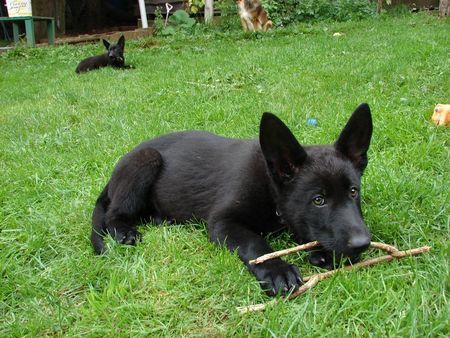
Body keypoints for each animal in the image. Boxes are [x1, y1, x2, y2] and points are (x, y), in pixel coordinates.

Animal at [91, 103, 372, 296]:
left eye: (353, 192)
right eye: (318, 200)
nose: (363, 244)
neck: (270, 187)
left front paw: (321, 253)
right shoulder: (223, 222)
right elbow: (254, 243)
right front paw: (278, 270)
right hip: (146, 160)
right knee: (113, 214)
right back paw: (125, 231)